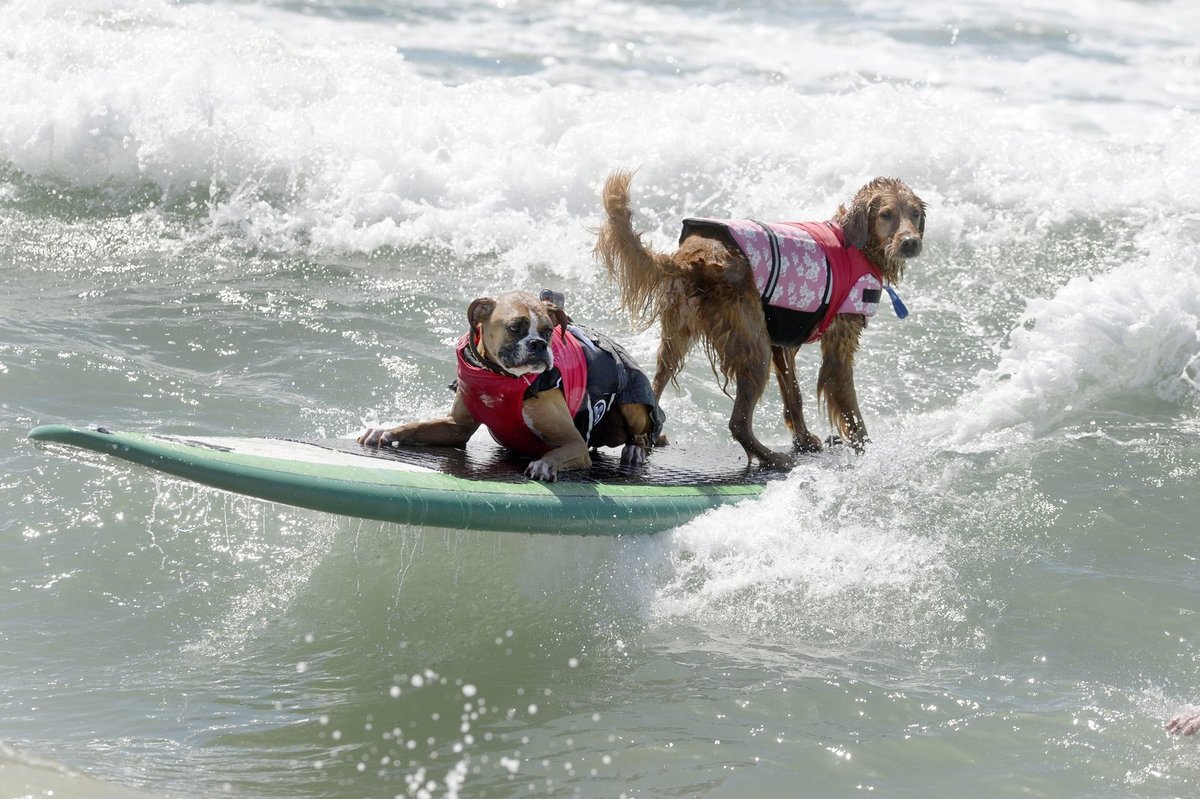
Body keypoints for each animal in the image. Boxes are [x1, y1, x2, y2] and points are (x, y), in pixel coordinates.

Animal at [357, 291, 667, 479]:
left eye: (548, 330)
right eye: (515, 327)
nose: (539, 344)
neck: (499, 378)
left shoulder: (574, 444)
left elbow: (555, 453)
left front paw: (544, 464)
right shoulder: (456, 428)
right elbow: (417, 426)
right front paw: (384, 431)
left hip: (632, 402)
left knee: (644, 431)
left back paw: (636, 449)